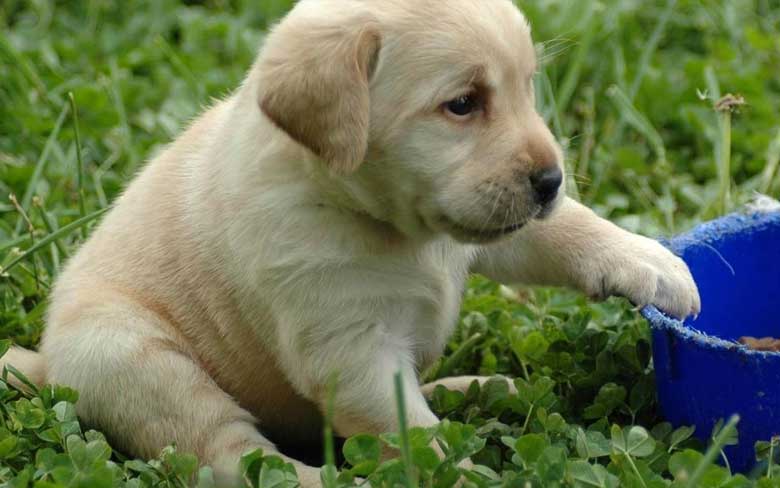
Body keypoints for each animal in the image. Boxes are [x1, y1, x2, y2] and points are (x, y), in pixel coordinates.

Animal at [1, 0, 700, 484]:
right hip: (132, 356)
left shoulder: (488, 228)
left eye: (527, 87)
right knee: (233, 456)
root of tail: (47, 363)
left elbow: (565, 228)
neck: (389, 224)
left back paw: (476, 387)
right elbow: (413, 435)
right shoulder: (348, 346)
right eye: (462, 103)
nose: (551, 179)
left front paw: (653, 263)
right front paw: (462, 474)